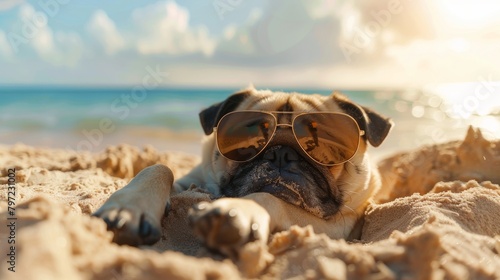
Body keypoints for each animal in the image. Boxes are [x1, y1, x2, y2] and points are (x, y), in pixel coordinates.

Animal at [93, 88, 390, 258]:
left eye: (323, 148)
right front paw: (130, 207)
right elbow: (159, 167)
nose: (281, 153)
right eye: (248, 142)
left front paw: (238, 211)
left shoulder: (337, 226)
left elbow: (269, 197)